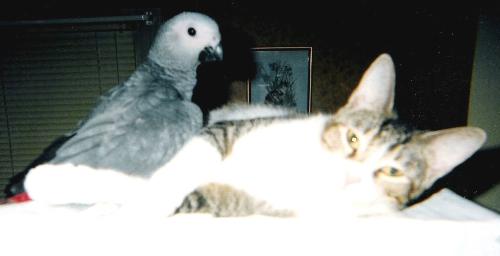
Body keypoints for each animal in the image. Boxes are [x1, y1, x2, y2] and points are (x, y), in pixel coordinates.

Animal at [23, 54, 484, 218]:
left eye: (391, 172)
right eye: (353, 138)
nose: (351, 176)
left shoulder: (242, 201)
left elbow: (166, 193)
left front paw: (124, 206)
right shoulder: (221, 130)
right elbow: (174, 167)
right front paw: (58, 180)